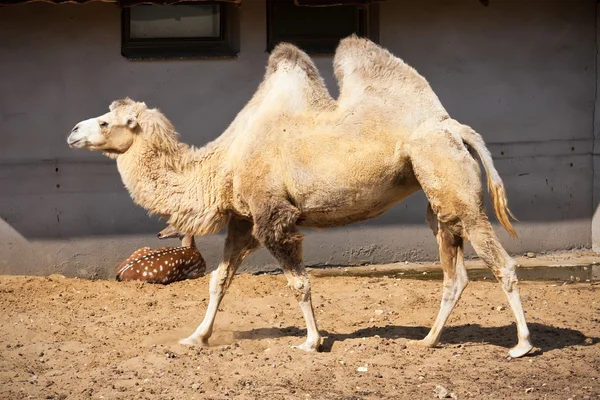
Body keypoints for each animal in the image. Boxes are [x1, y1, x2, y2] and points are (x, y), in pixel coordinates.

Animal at [69, 36, 536, 358]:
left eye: (107, 121)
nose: (73, 130)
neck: (221, 165)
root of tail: (454, 127)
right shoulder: (242, 220)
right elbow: (218, 281)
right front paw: (196, 337)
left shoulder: (273, 217)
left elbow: (298, 282)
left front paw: (312, 342)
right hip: (437, 192)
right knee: (454, 273)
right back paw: (428, 340)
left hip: (450, 178)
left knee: (502, 263)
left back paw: (522, 345)